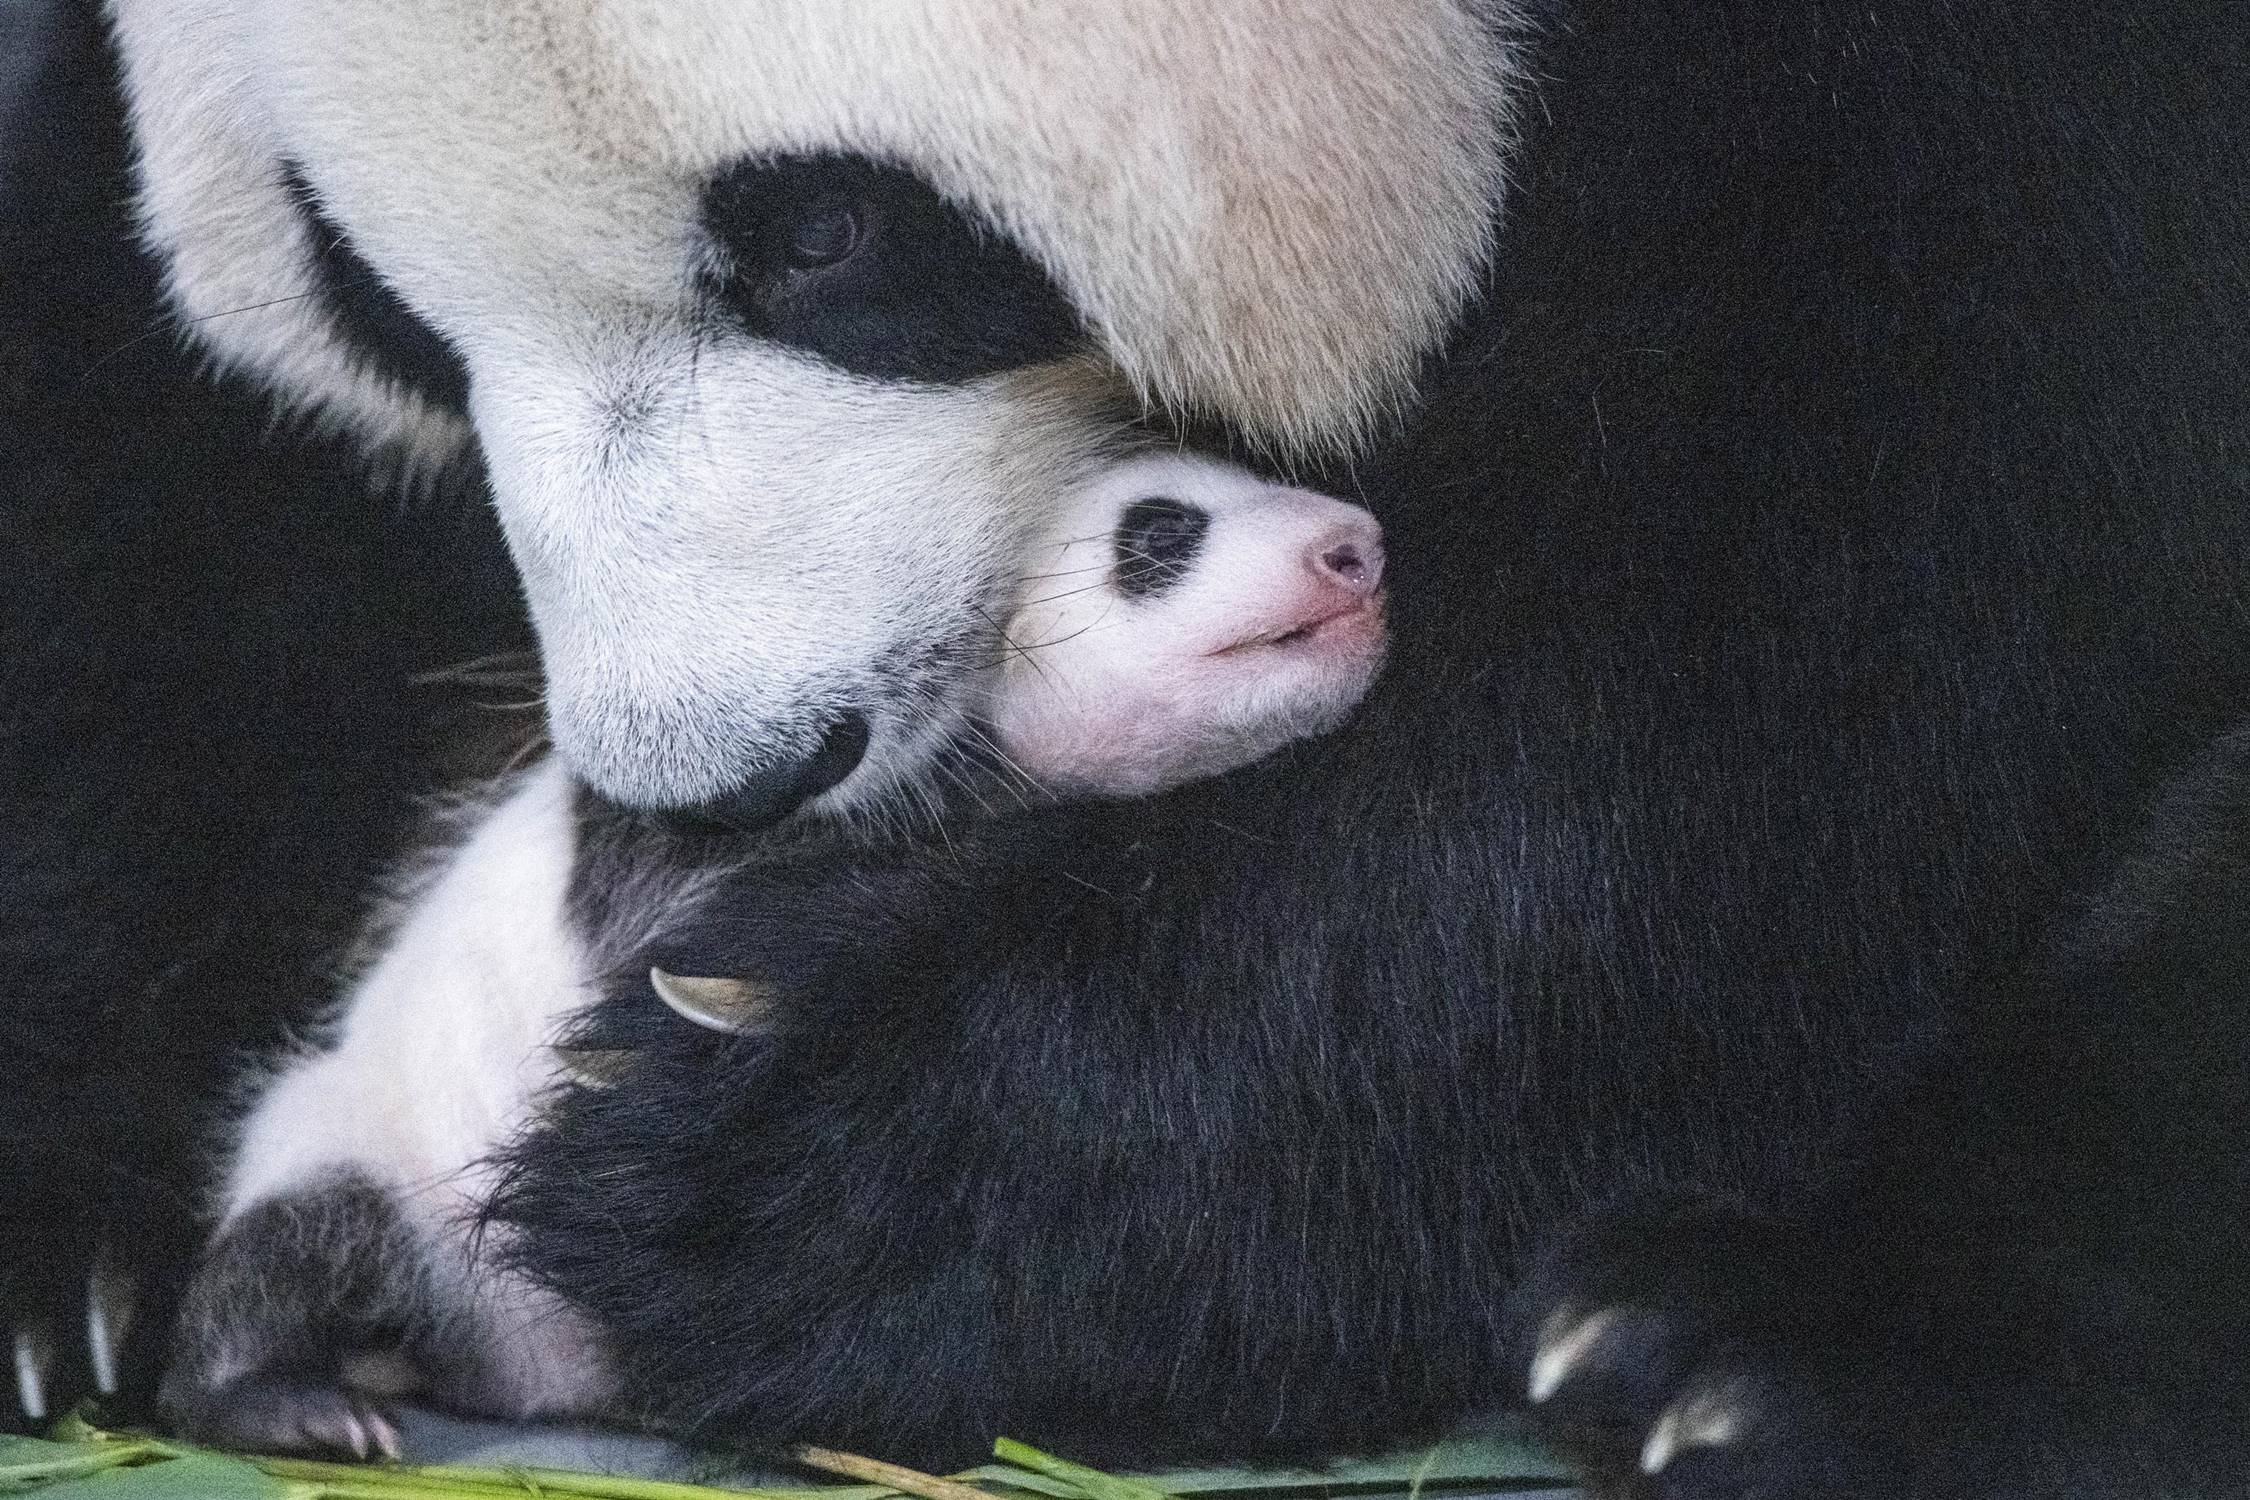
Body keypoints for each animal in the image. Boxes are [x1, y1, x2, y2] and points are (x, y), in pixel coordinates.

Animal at [4, 2, 2250, 1500]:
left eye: (830, 236)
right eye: (367, 295)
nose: (721, 775)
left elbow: (1809, 536)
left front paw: (815, 1154)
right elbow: (163, 470)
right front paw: (66, 1252)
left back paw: (1763, 1347)